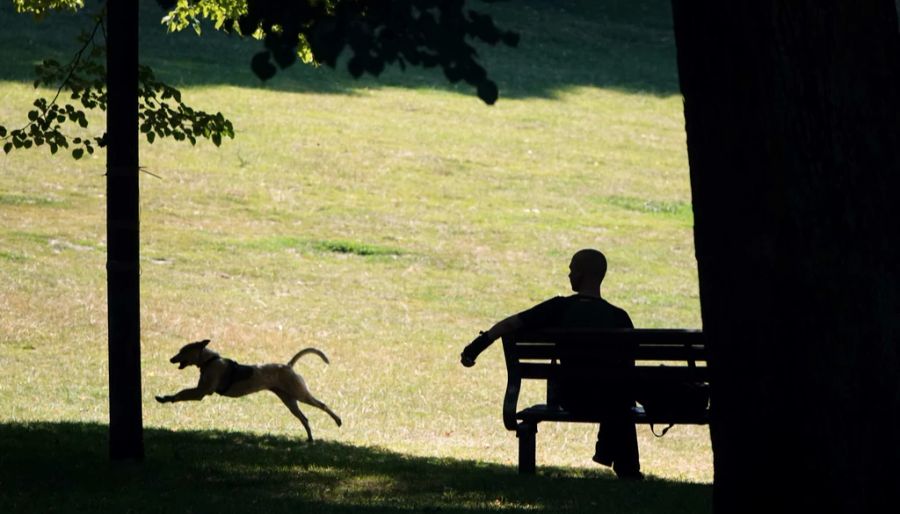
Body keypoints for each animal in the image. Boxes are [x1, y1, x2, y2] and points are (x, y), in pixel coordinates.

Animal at [155, 338, 342, 438]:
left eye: (183, 350)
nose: (171, 359)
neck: (209, 360)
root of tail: (288, 366)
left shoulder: (201, 392)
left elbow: (181, 393)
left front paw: (166, 398)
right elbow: (181, 393)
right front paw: (165, 398)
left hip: (300, 393)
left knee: (322, 405)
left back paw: (338, 420)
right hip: (289, 400)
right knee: (304, 418)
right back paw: (310, 439)